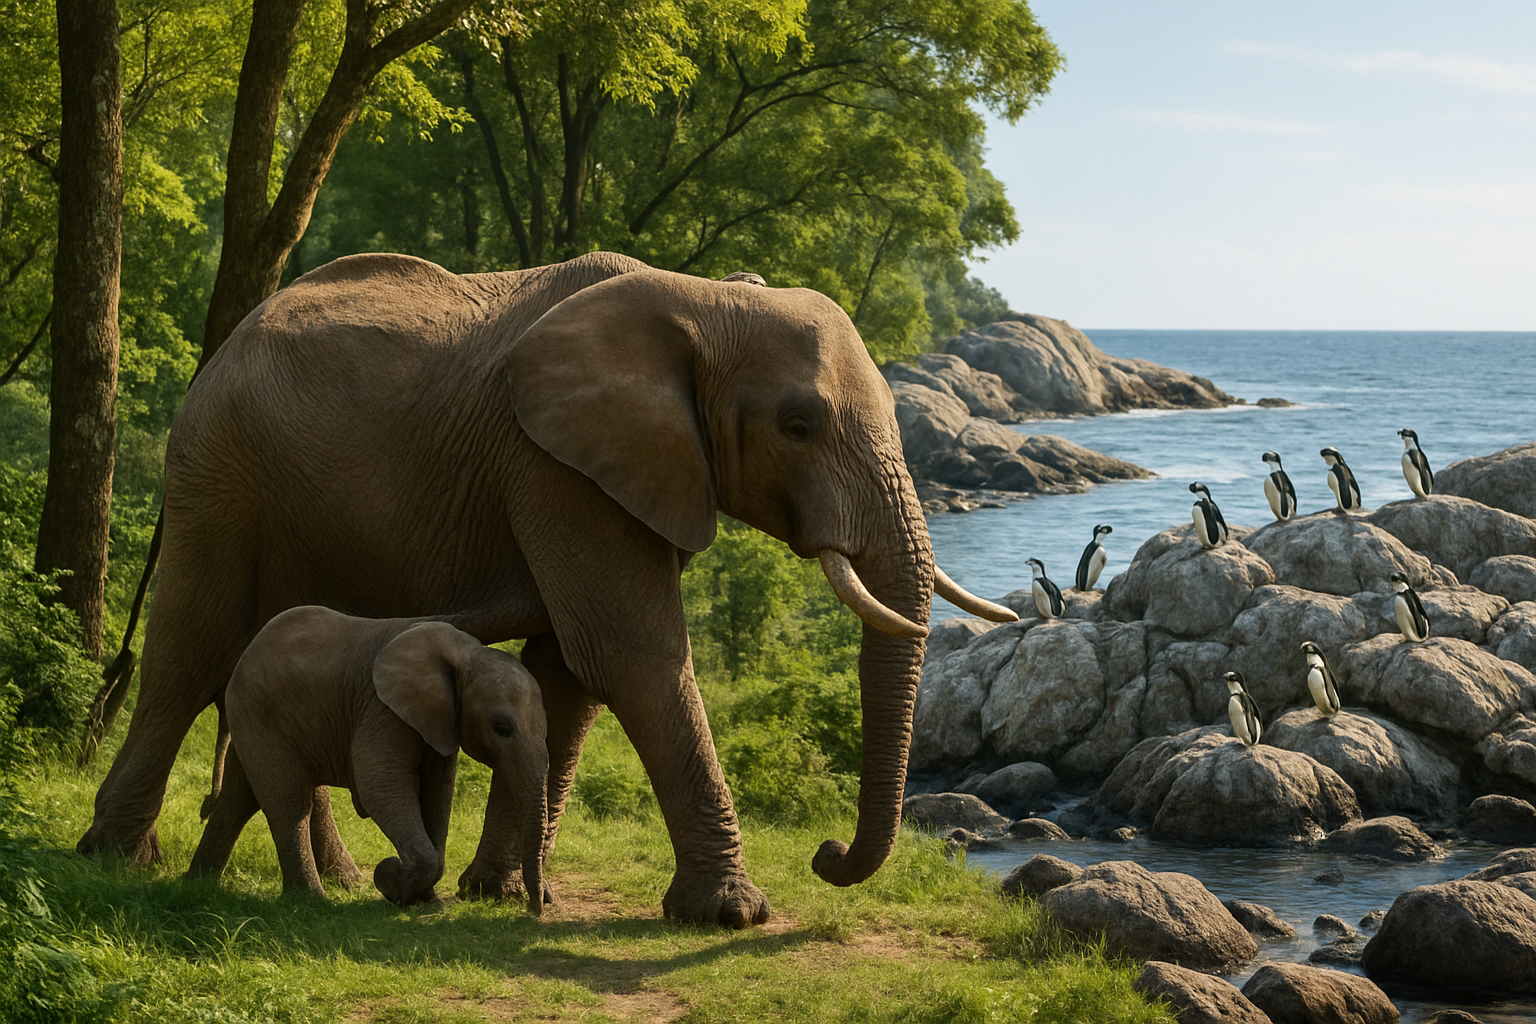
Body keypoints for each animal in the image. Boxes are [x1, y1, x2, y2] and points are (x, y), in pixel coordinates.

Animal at [187, 607, 549, 913]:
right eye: (502, 728)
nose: (536, 908)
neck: (467, 650)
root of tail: (248, 651)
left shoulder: (439, 720)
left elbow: (436, 796)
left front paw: (426, 904)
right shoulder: (381, 707)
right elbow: (380, 784)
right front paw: (391, 880)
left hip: (253, 716)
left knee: (240, 798)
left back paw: (197, 885)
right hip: (259, 713)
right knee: (287, 802)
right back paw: (312, 902)